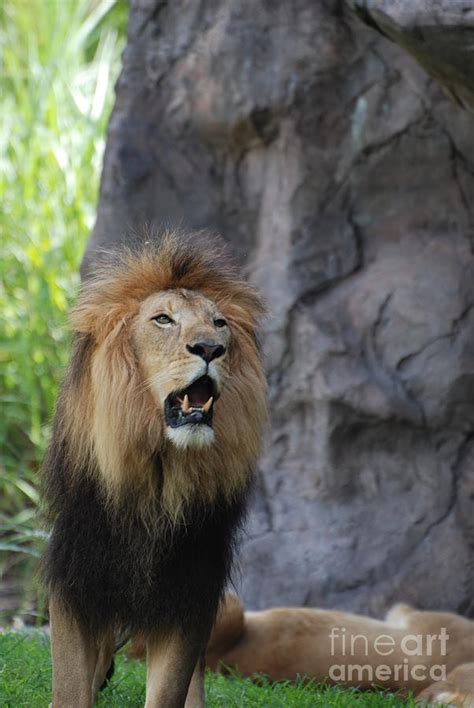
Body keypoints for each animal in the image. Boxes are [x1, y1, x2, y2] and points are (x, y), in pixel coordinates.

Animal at [39, 230, 266, 704]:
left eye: (220, 324)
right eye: (163, 320)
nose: (210, 348)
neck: (160, 473)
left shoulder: (188, 589)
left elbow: (169, 689)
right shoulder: (76, 575)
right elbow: (70, 685)